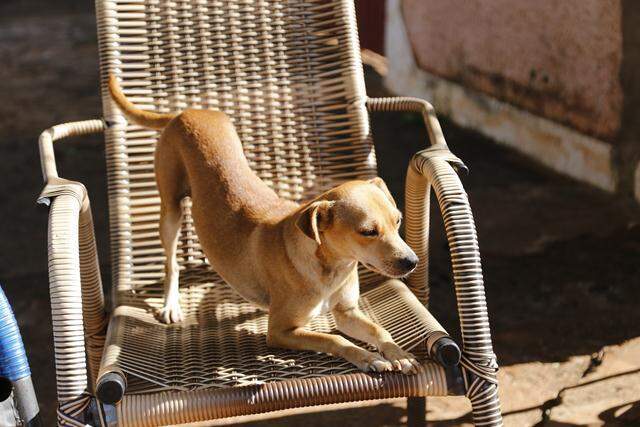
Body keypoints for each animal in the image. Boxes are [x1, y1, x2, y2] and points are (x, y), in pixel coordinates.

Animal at [109, 77, 420, 374]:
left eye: (398, 220)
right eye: (368, 232)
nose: (412, 262)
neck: (330, 267)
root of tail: (185, 112)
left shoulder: (347, 313)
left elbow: (379, 331)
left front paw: (398, 353)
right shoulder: (281, 331)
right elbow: (334, 339)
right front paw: (368, 358)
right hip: (171, 211)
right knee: (171, 262)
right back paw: (170, 304)